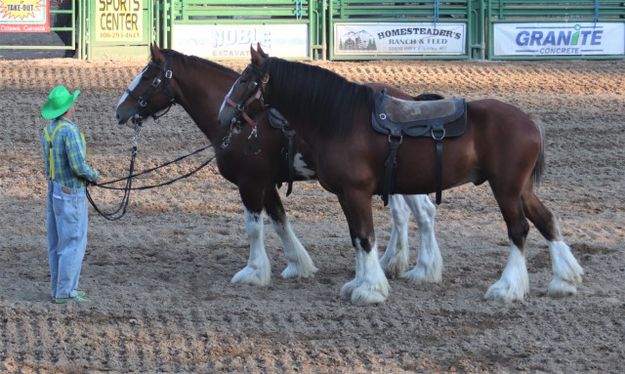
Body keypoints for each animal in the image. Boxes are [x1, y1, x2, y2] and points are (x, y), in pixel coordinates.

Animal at [113, 45, 444, 288]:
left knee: (423, 213)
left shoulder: (250, 183)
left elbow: (254, 227)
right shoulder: (266, 183)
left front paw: (254, 271)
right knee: (408, 214)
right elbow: (279, 221)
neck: (242, 122)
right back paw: (398, 264)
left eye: (149, 77)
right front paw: (298, 264)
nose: (119, 110)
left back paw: (421, 269)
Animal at [217, 46, 584, 304]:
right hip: (521, 189)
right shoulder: (347, 195)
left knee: (518, 230)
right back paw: (564, 279)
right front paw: (359, 282)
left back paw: (508, 287)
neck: (340, 119)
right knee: (546, 220)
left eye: (245, 79)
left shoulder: (356, 192)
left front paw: (370, 289)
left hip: (505, 188)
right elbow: (357, 238)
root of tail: (529, 120)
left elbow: (365, 238)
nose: (223, 116)